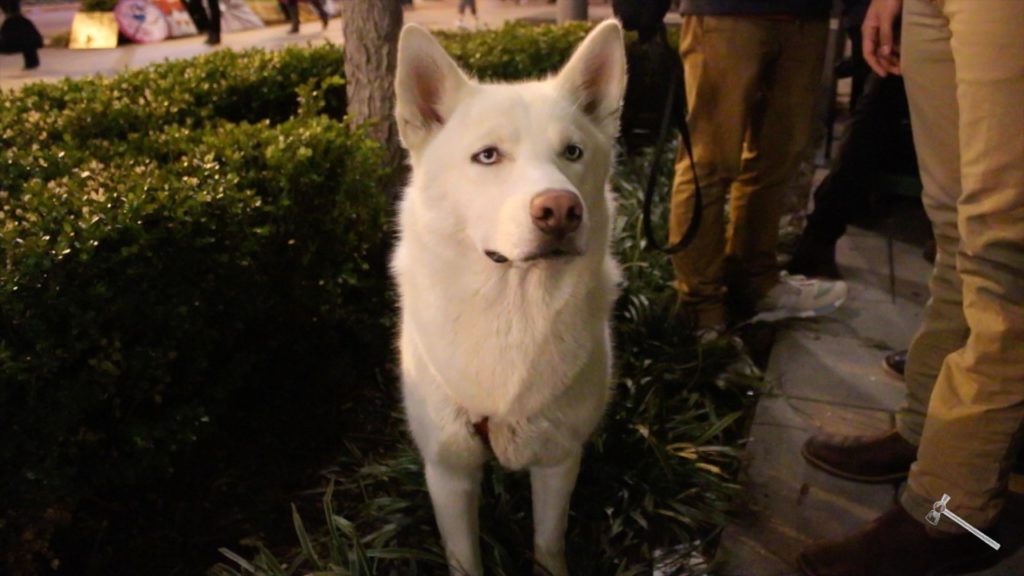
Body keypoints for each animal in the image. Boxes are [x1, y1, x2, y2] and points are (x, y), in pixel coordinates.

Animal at [391, 20, 626, 569]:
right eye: (488, 156)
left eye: (573, 152)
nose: (561, 211)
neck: (513, 307)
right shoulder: (449, 472)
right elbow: (464, 558)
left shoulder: (559, 460)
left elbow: (547, 541)